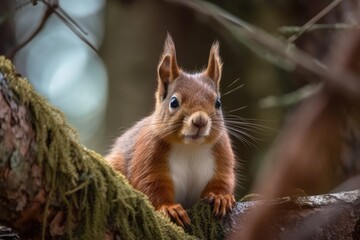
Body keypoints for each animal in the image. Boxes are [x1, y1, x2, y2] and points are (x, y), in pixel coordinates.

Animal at [106, 33, 236, 227]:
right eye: (174, 102)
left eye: (218, 103)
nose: (200, 121)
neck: (190, 148)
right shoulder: (148, 158)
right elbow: (151, 187)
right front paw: (169, 209)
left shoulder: (222, 156)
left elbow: (222, 180)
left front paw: (221, 197)